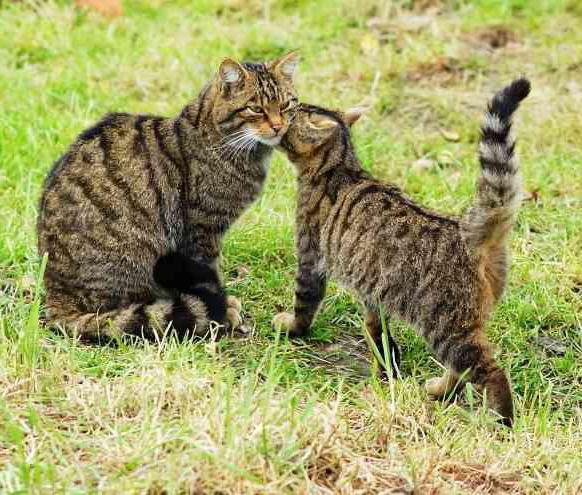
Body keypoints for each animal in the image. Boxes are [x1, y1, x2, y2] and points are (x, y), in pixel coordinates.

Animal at [38, 52, 302, 342]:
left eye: (286, 105)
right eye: (255, 109)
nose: (278, 126)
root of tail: (55, 297)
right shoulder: (202, 229)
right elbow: (211, 271)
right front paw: (225, 308)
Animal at [274, 78, 532, 426]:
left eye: (288, 111)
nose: (275, 118)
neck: (340, 167)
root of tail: (470, 230)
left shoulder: (310, 258)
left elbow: (304, 303)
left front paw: (292, 327)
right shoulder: (371, 283)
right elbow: (376, 326)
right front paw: (385, 361)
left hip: (446, 326)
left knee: (489, 371)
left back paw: (500, 419)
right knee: (462, 370)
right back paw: (440, 390)